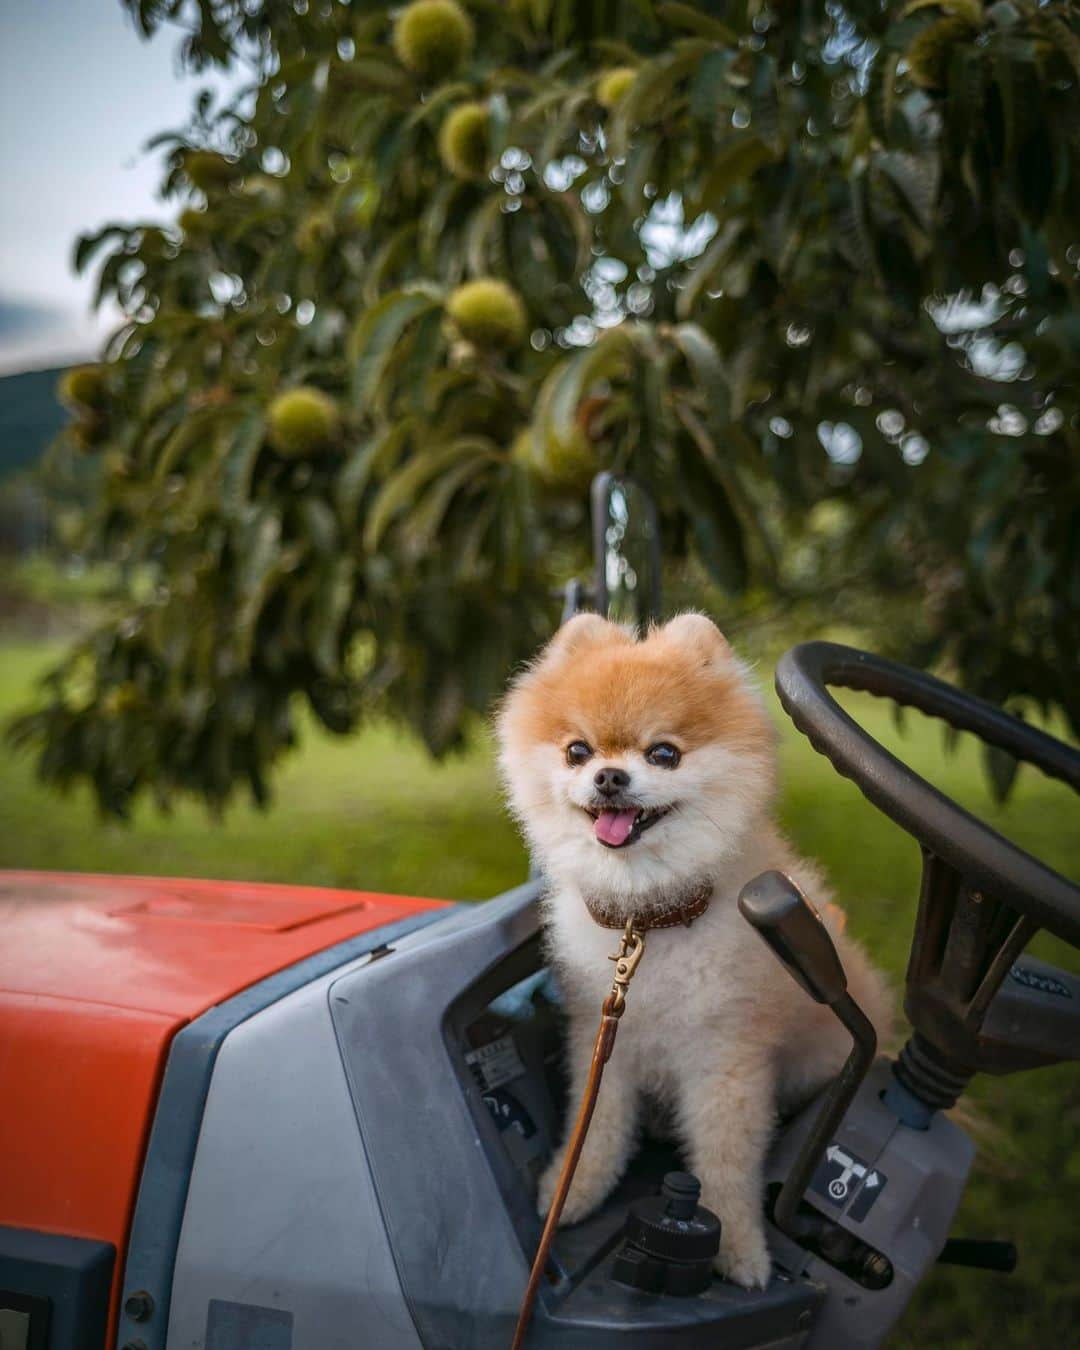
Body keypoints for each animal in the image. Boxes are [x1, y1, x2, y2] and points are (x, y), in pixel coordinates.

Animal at [496, 612, 896, 1285]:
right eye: (577, 750)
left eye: (664, 753)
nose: (608, 776)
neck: (650, 921)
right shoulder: (601, 1043)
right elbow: (595, 1128)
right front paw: (571, 1193)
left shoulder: (726, 1057)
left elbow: (725, 1161)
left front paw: (739, 1247)